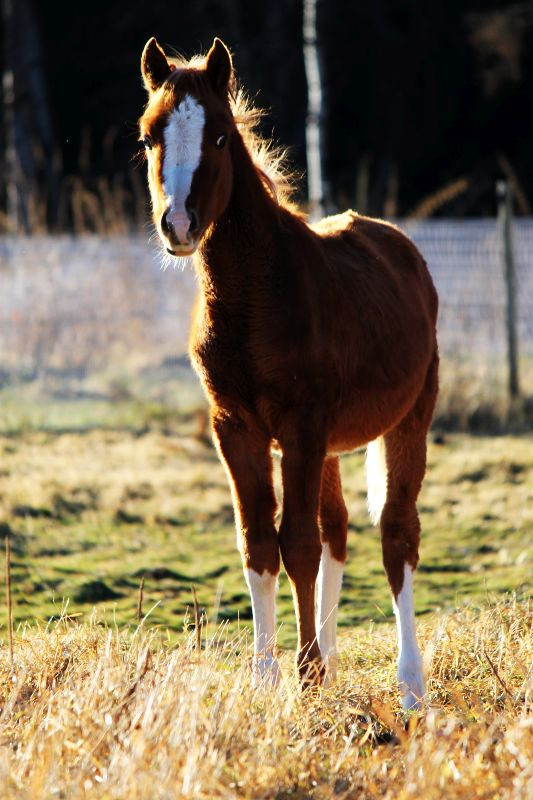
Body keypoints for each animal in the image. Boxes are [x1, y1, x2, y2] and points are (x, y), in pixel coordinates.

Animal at [139, 34, 438, 708]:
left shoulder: (301, 426)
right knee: (339, 531)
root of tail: (405, 251)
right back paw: (332, 657)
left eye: (221, 136)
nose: (178, 225)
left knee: (395, 534)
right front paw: (268, 678)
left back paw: (409, 686)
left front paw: (304, 678)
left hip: (407, 420)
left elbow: (295, 543)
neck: (255, 299)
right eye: (148, 137)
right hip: (329, 445)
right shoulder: (236, 427)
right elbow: (259, 544)